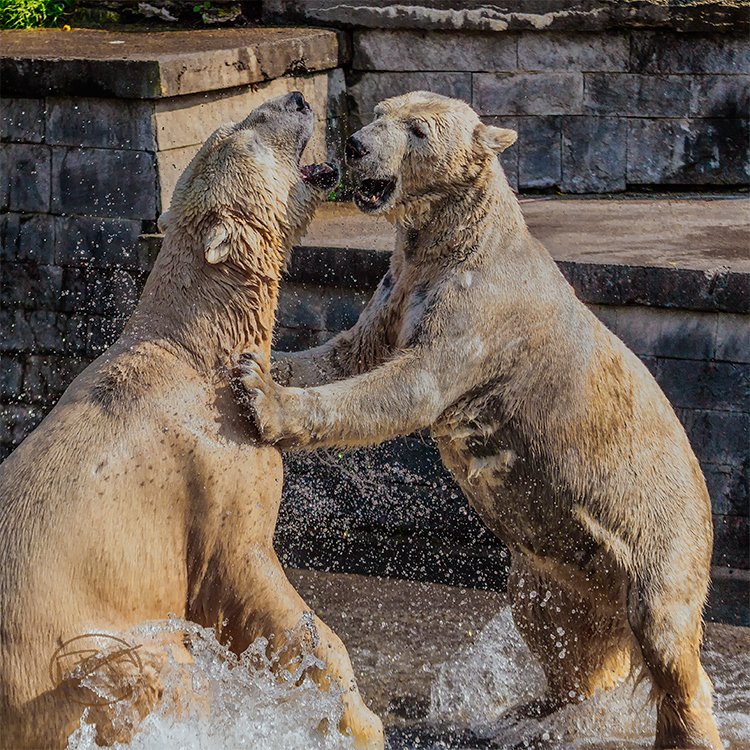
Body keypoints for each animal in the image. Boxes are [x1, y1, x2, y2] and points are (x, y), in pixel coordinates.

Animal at [0, 92, 384, 750]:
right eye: (246, 126)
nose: (299, 97)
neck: (194, 347)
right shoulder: (212, 478)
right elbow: (249, 575)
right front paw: (358, 722)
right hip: (60, 662)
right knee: (154, 671)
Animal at [239, 92, 724, 750]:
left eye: (417, 128)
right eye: (381, 110)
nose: (356, 144)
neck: (453, 241)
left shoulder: (479, 309)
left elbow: (407, 388)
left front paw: (259, 396)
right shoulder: (398, 288)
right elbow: (345, 353)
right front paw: (259, 360)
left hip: (660, 532)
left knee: (665, 633)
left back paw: (681, 727)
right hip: (561, 568)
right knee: (553, 624)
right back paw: (534, 707)